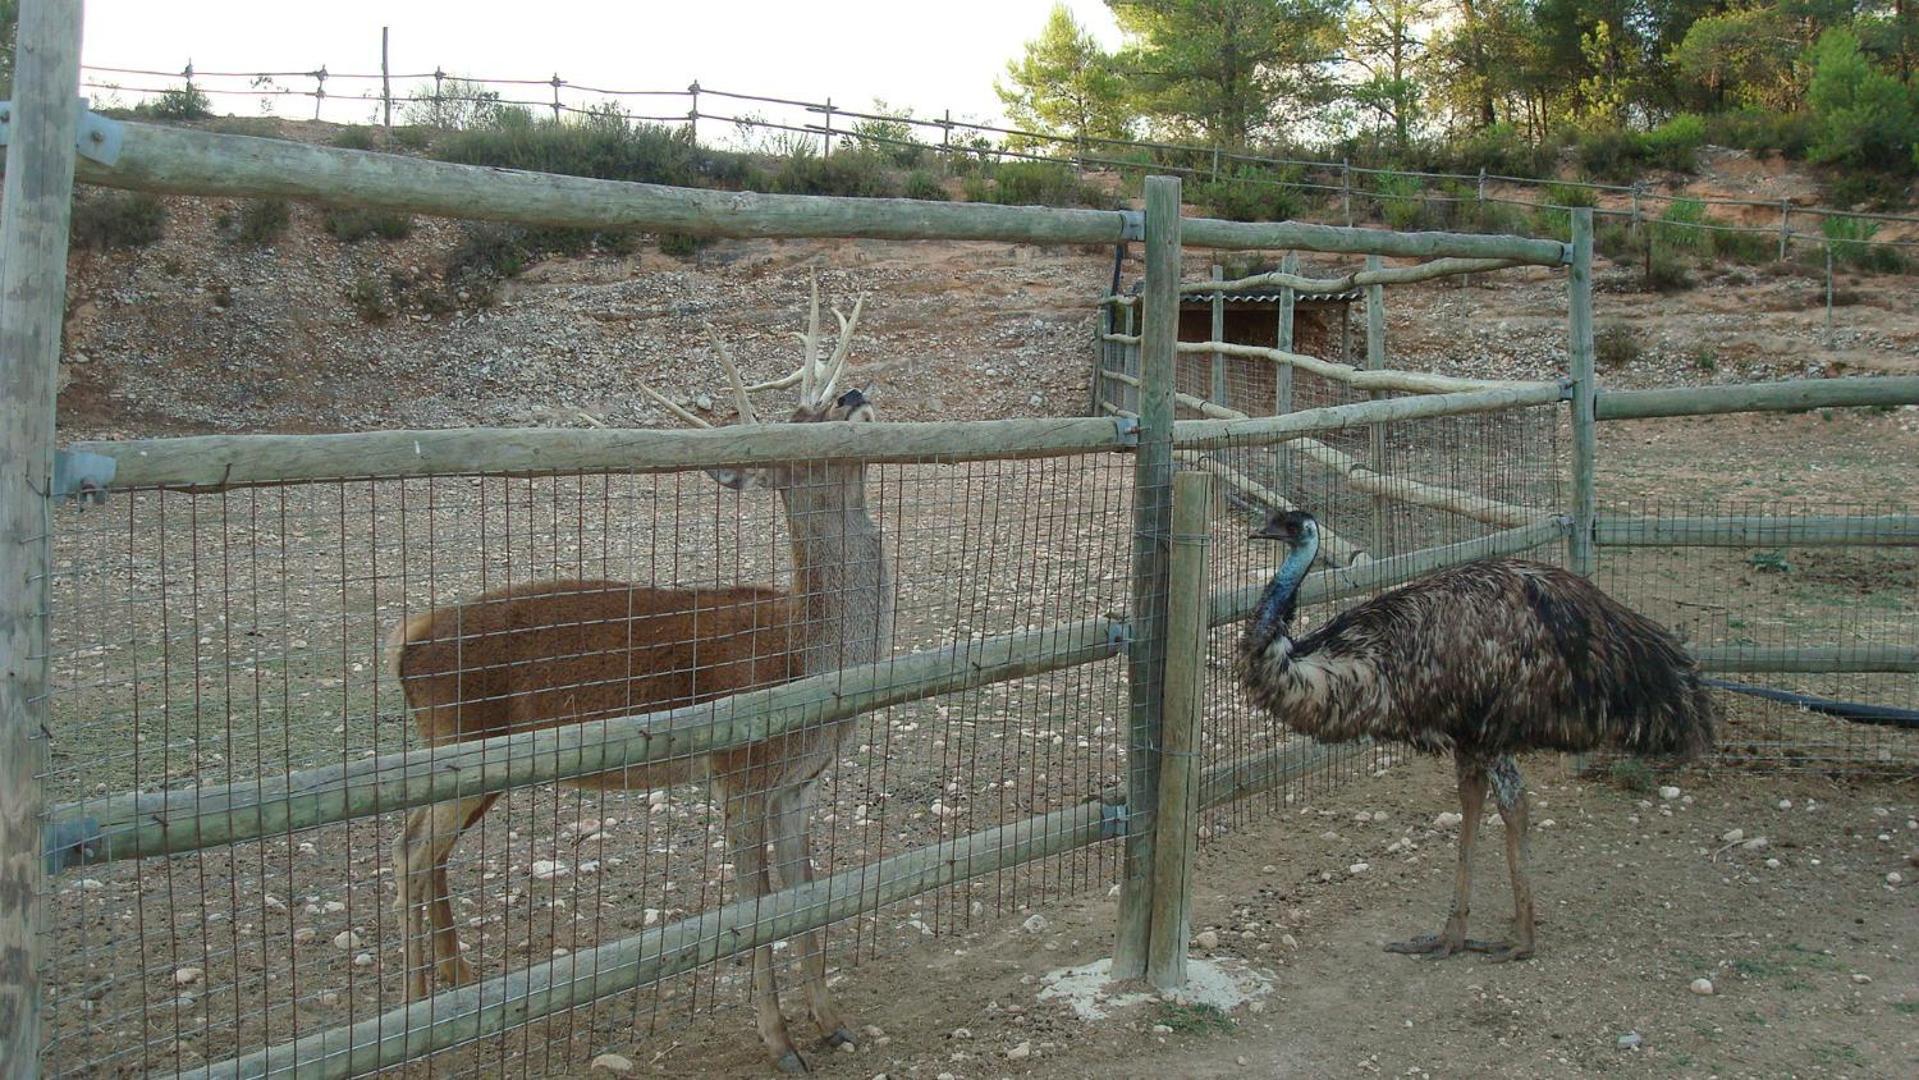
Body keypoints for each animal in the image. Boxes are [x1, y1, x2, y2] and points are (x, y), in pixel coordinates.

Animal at [391, 278, 898, 1074]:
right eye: (793, 428)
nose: (850, 395)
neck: (804, 657)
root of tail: (403, 646)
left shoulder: (797, 786)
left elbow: (808, 902)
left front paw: (832, 1022)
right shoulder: (738, 774)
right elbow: (755, 913)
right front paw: (779, 1042)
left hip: (472, 760)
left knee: (427, 846)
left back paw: (458, 980)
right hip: (461, 741)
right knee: (411, 848)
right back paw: (416, 1010)